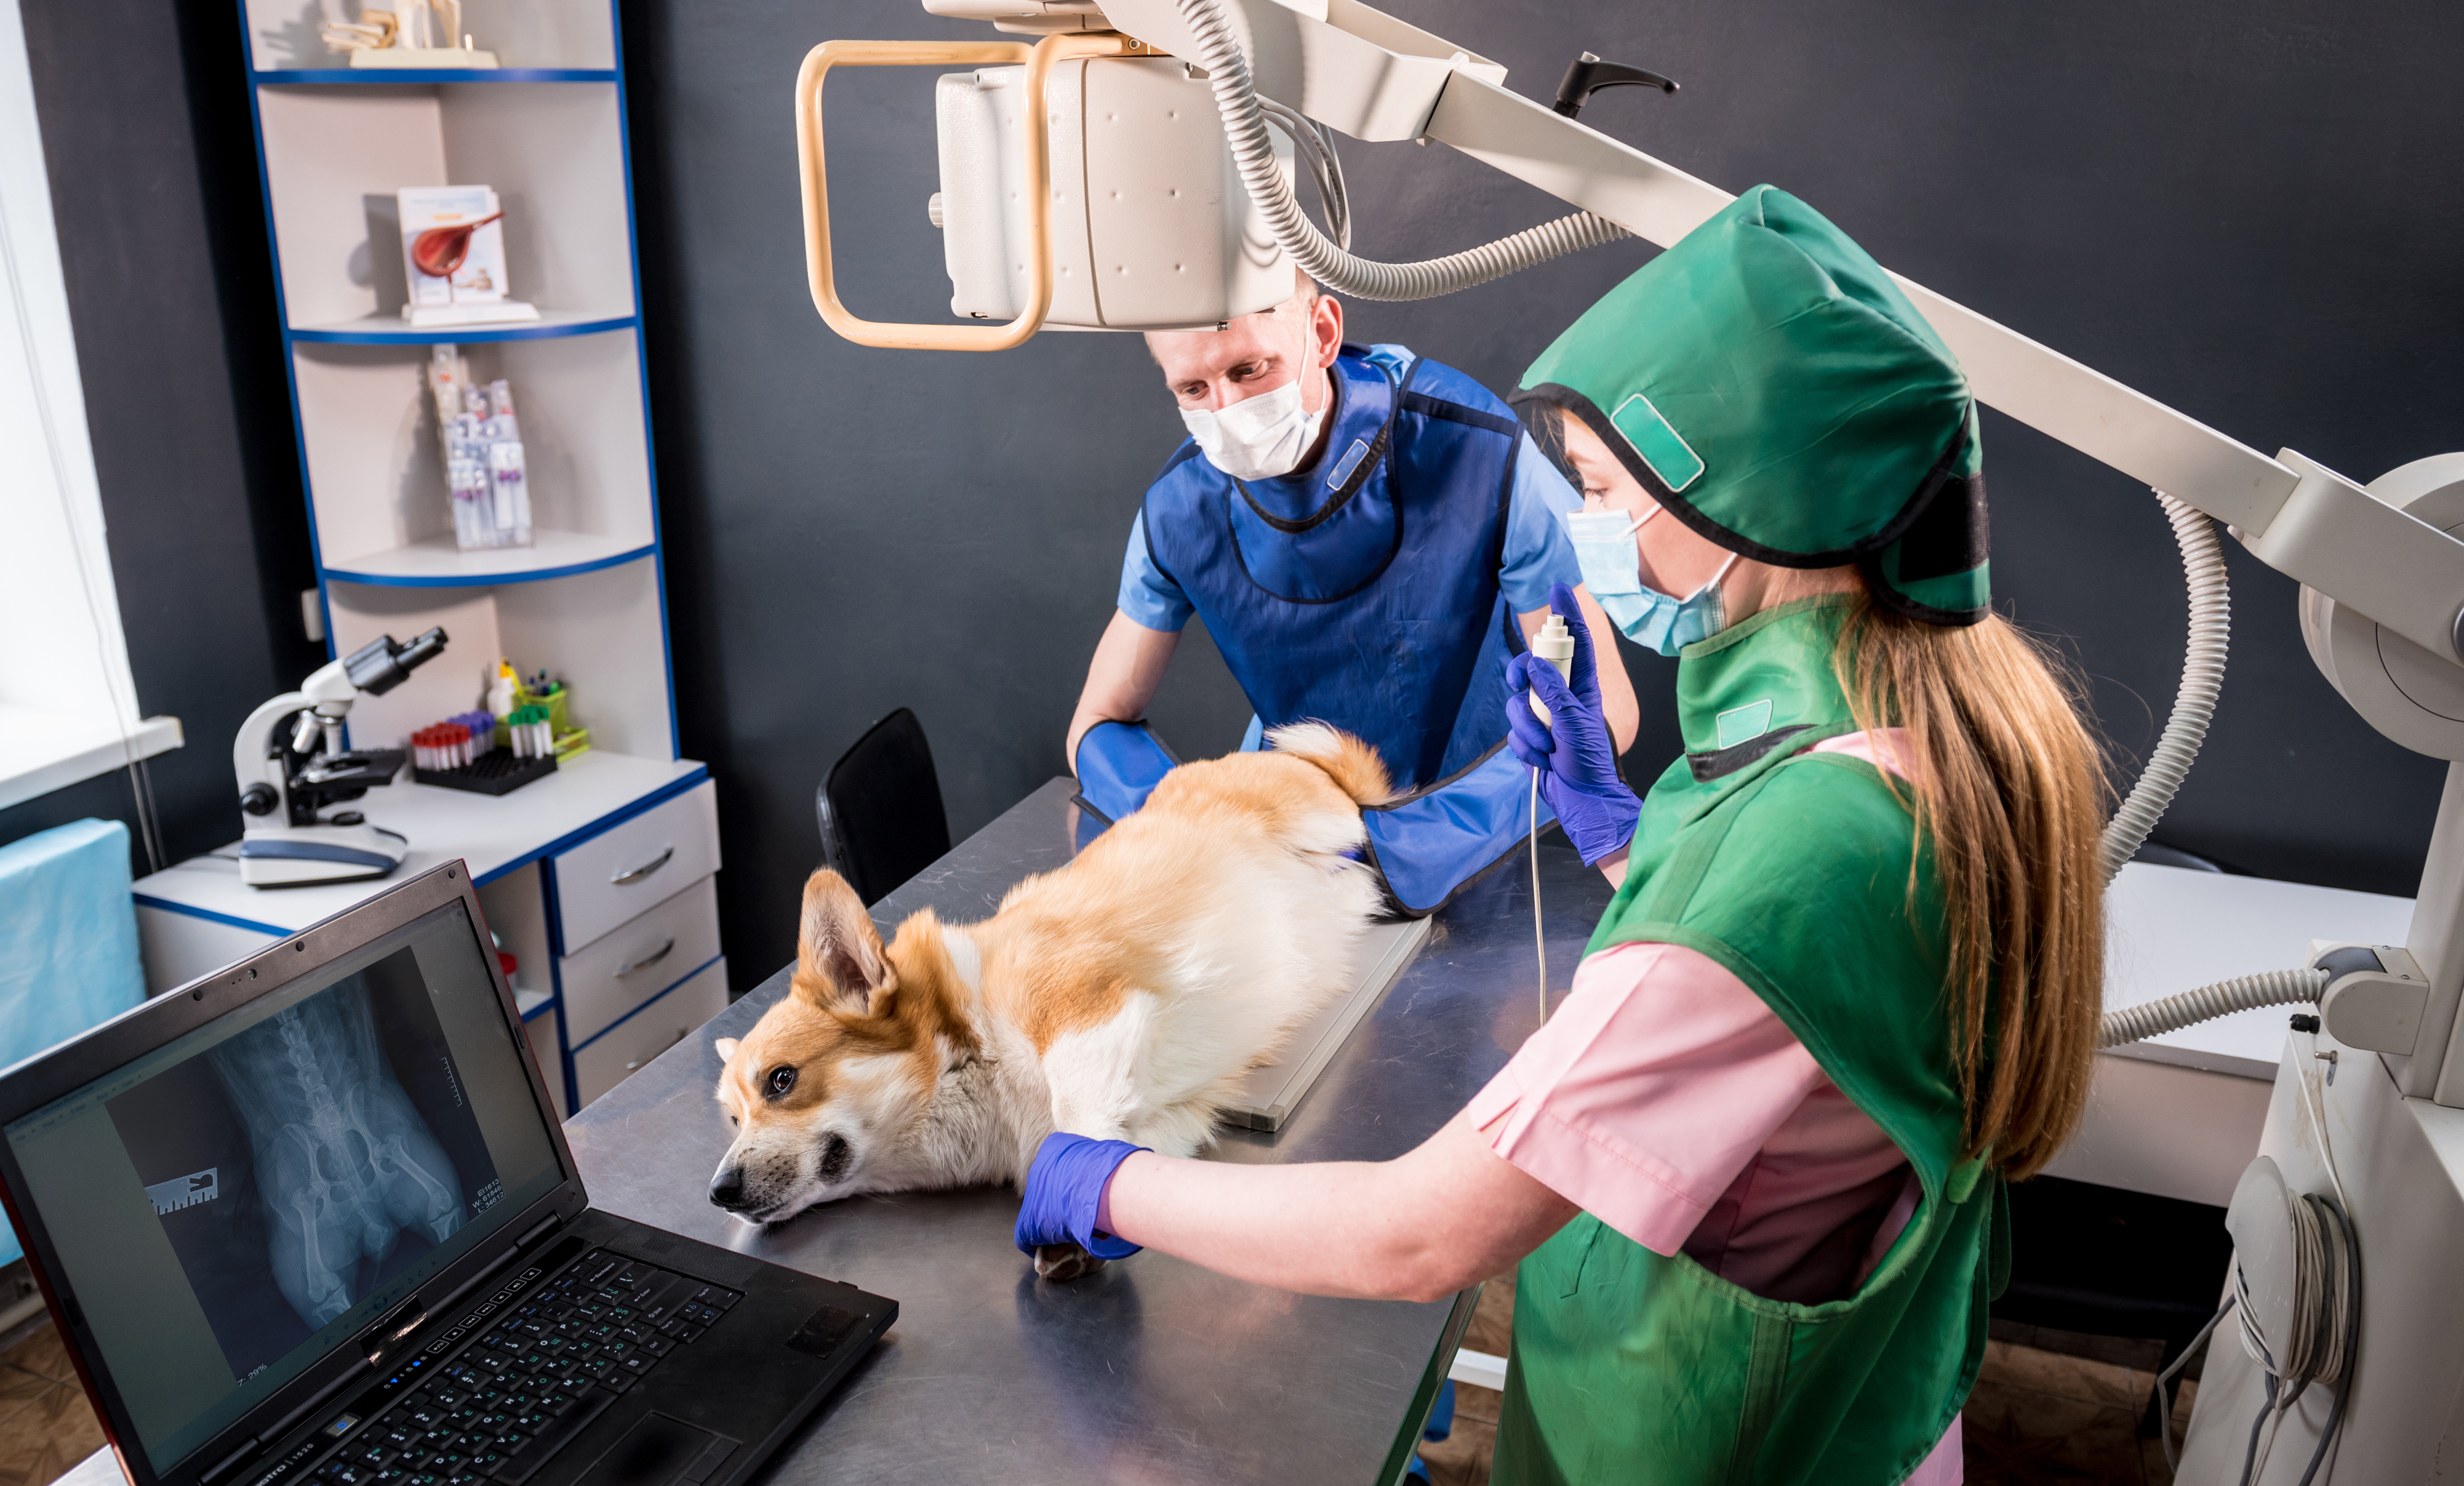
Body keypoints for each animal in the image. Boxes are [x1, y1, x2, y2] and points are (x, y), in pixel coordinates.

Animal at [714, 724, 1399, 1281]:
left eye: (782, 1080)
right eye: (732, 1118)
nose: (719, 1192)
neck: (971, 1072)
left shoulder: (1079, 1005)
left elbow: (1076, 1112)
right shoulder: (1171, 1119)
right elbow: (1126, 1162)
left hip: (1328, 814)